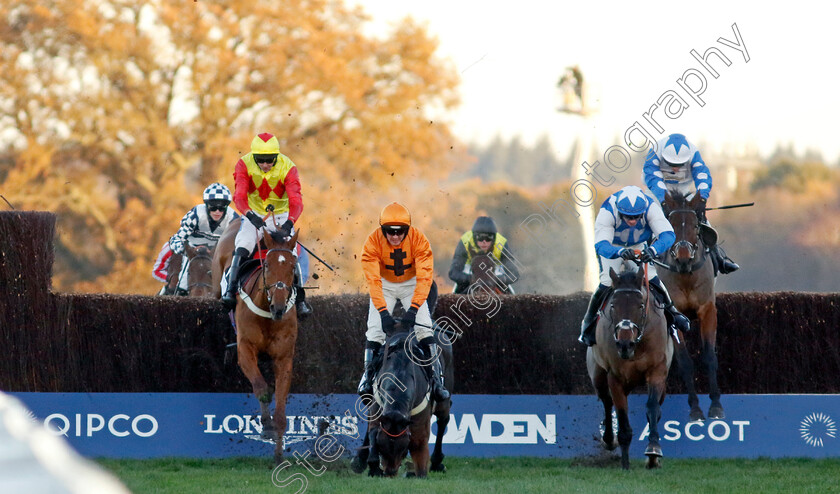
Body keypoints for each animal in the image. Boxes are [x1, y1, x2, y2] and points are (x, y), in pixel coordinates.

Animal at [212, 218, 300, 462]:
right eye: (267, 265)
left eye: (293, 267)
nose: (279, 306)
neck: (268, 313)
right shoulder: (245, 350)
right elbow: (262, 389)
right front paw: (266, 427)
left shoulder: (284, 357)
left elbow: (281, 406)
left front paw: (279, 454)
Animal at [584, 264, 676, 468]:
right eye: (613, 305)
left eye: (640, 305)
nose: (624, 344)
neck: (637, 344)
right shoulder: (615, 377)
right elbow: (621, 415)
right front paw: (625, 462)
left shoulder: (657, 371)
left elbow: (652, 407)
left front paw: (653, 451)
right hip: (598, 376)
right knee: (606, 401)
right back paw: (608, 439)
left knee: (656, 408)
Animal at [660, 191, 724, 422]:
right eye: (671, 225)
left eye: (695, 225)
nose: (683, 257)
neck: (685, 275)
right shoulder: (675, 317)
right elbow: (685, 362)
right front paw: (695, 409)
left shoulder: (708, 310)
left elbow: (710, 357)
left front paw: (716, 406)